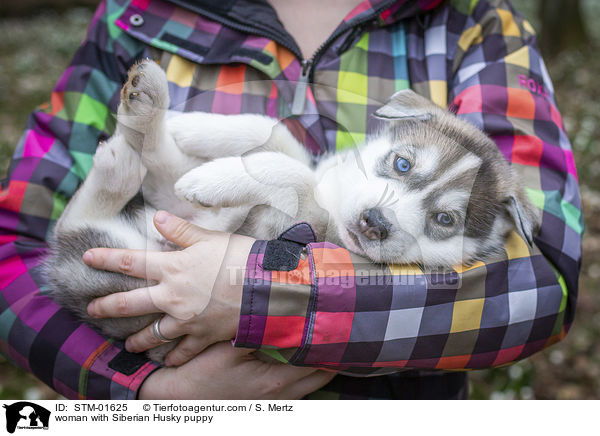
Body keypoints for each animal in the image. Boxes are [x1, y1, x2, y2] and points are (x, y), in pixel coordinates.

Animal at [42, 59, 540, 362]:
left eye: (444, 220)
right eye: (403, 164)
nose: (374, 223)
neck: (334, 207)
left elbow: (291, 173)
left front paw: (213, 179)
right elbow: (273, 133)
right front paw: (193, 128)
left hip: (125, 278)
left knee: (77, 226)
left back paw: (120, 162)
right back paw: (146, 110)